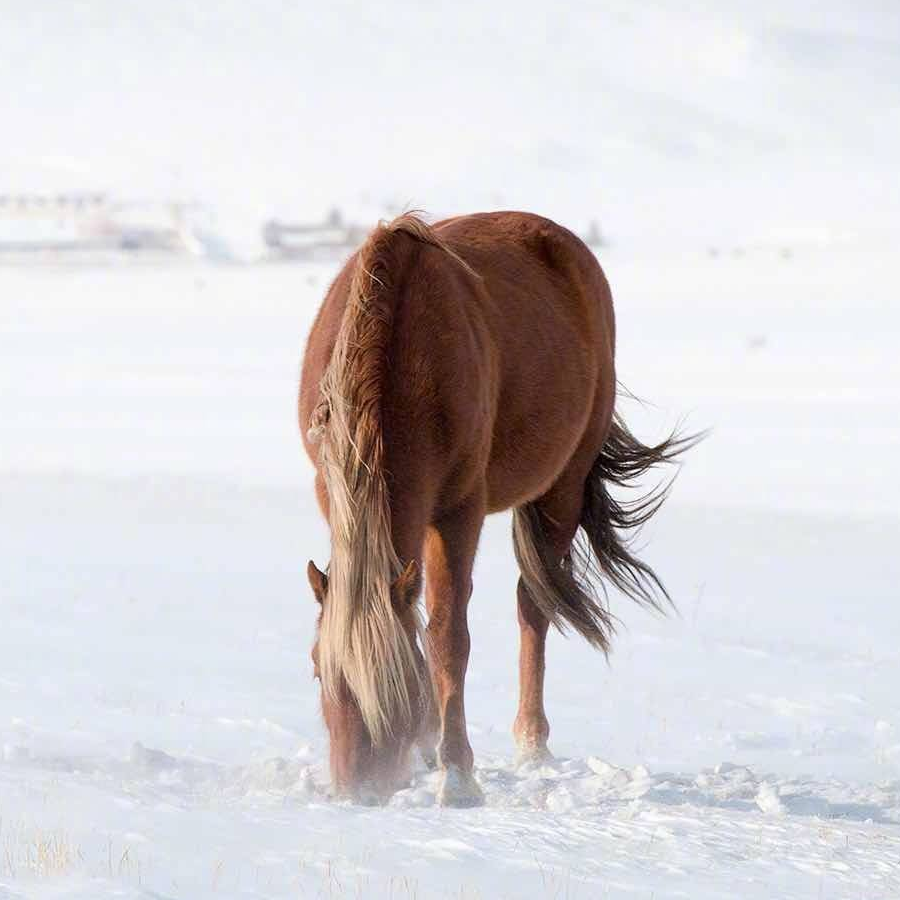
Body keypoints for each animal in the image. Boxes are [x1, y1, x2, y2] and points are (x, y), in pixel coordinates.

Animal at [298, 213, 700, 808]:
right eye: (318, 669)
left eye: (395, 681)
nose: (359, 792)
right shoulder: (336, 496)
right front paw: (429, 746)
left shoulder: (458, 512)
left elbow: (448, 637)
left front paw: (458, 776)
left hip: (561, 488)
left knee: (533, 605)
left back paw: (532, 743)